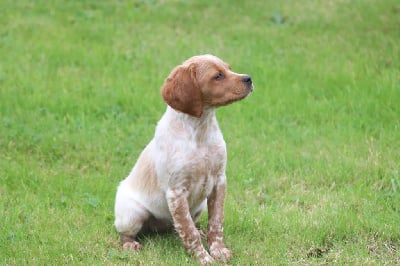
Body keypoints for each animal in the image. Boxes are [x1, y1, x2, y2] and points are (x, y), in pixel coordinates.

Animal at [114, 54, 253, 264]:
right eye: (218, 76)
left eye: (229, 68)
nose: (249, 78)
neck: (200, 129)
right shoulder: (176, 191)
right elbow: (189, 232)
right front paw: (203, 258)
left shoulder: (219, 181)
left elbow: (215, 222)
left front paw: (218, 250)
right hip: (132, 213)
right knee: (125, 233)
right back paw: (130, 245)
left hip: (199, 207)